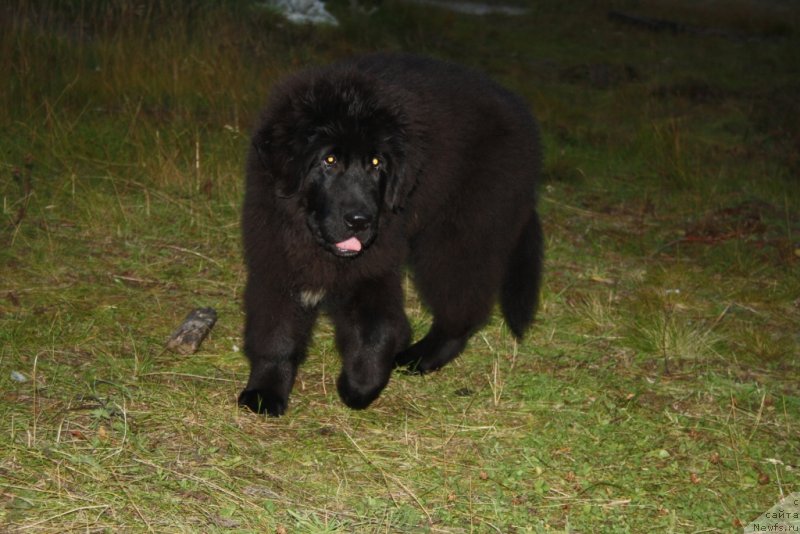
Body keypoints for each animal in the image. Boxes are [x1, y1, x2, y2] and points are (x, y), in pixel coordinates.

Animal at [238, 53, 544, 418]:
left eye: (375, 162)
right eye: (329, 159)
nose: (360, 220)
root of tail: (517, 107)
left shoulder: (373, 268)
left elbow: (378, 331)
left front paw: (358, 387)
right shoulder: (278, 259)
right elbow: (277, 332)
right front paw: (265, 392)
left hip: (461, 232)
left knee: (463, 304)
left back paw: (421, 356)